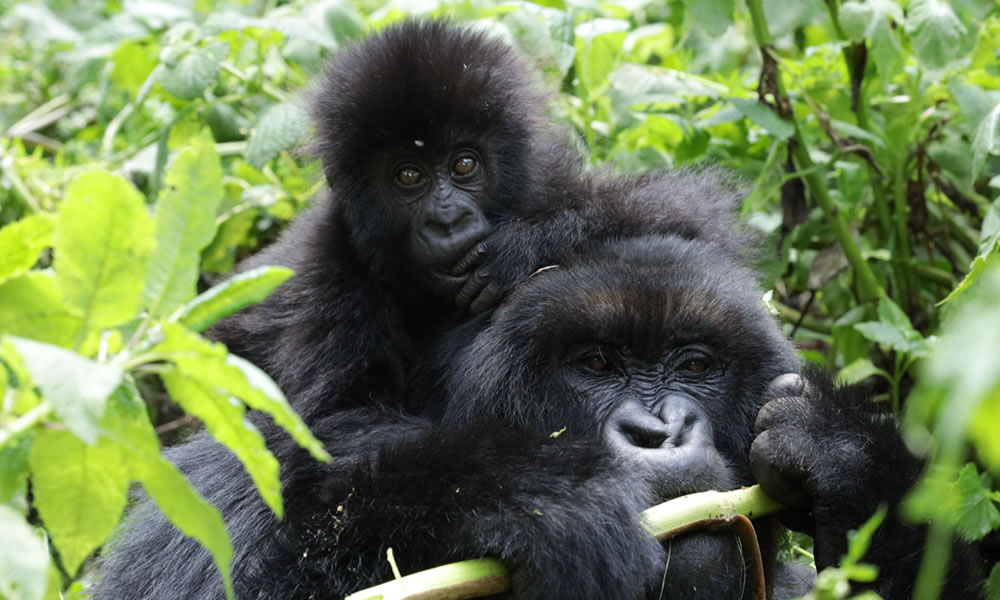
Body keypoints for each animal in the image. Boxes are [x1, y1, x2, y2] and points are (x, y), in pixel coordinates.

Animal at [94, 236, 984, 600]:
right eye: (593, 365)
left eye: (695, 365)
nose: (660, 431)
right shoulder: (239, 481)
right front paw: (533, 492)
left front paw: (846, 460)